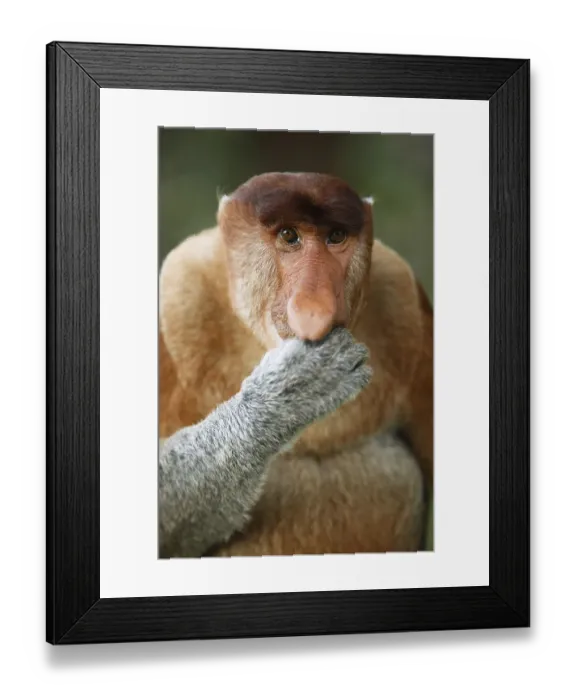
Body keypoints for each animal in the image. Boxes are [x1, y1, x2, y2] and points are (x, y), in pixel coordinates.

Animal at [158, 172, 433, 558]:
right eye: (290, 236)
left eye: (336, 236)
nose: (315, 307)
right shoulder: (179, 297)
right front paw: (297, 388)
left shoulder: (406, 302)